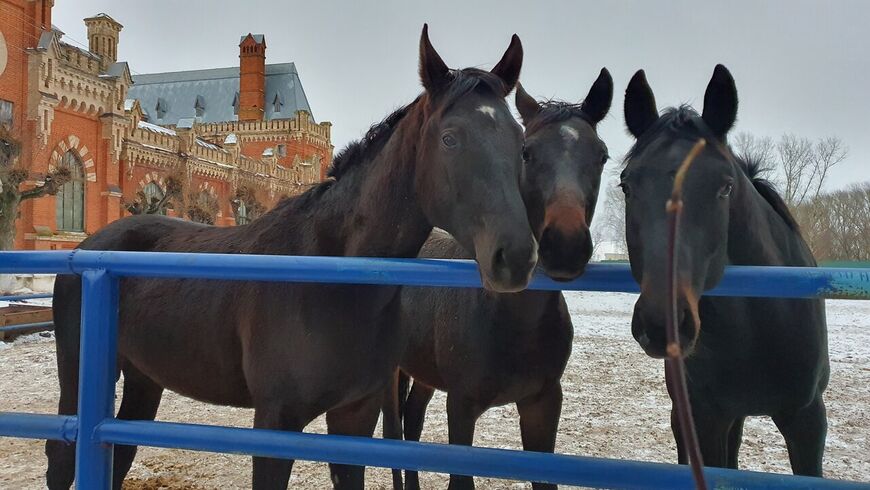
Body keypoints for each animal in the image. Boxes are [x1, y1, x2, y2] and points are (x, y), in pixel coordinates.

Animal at [47, 26, 540, 490]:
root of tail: (90, 247)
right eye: (450, 138)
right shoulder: (277, 420)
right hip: (80, 371)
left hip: (145, 377)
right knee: (60, 459)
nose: (516, 255)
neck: (331, 279)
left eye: (520, 140)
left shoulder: (355, 416)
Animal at [384, 70, 616, 490]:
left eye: (601, 155)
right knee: (394, 432)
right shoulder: (461, 406)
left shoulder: (543, 403)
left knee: (412, 420)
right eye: (528, 152)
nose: (565, 244)